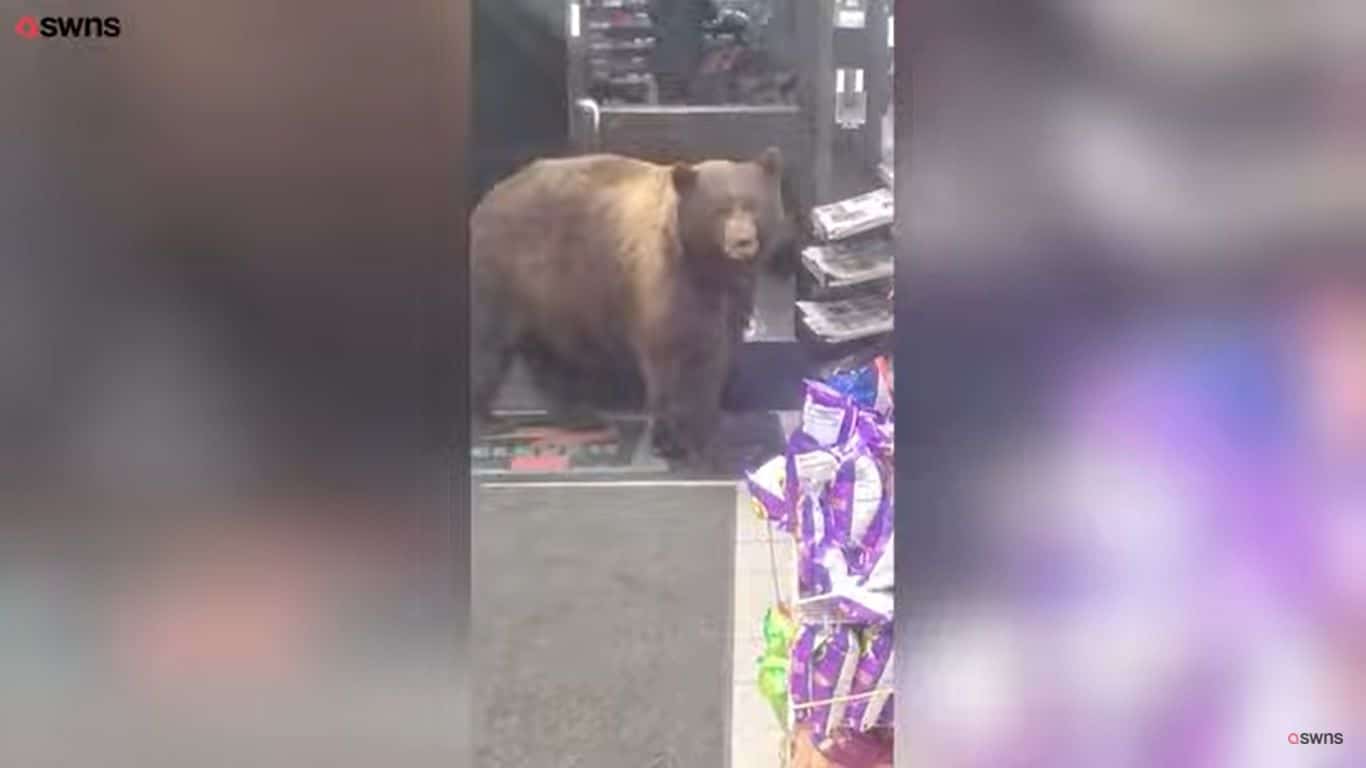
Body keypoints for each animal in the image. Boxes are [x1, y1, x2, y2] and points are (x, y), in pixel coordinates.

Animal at [475, 149, 786, 459]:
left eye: (754, 205)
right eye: (720, 210)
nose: (743, 241)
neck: (708, 268)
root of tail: (492, 194)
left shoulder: (730, 298)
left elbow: (713, 357)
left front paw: (706, 430)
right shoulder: (666, 282)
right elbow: (672, 356)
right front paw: (672, 439)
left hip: (551, 299)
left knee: (552, 358)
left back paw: (580, 415)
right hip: (505, 273)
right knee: (488, 345)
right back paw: (489, 420)